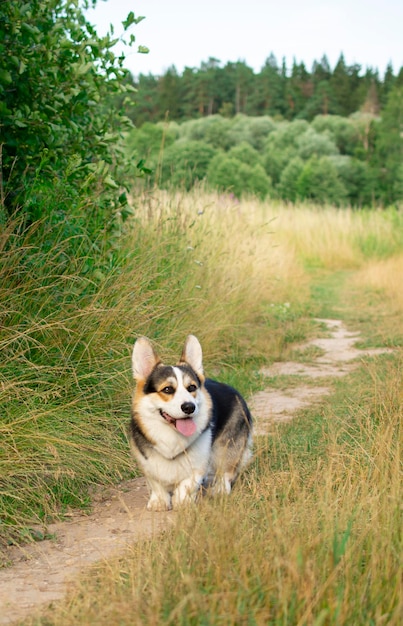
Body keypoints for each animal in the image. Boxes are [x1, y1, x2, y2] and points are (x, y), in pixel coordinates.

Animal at [129, 334, 252, 510]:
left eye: (192, 387)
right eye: (167, 389)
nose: (189, 407)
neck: (172, 437)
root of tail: (233, 390)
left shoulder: (199, 465)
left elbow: (187, 484)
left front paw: (182, 501)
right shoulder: (148, 464)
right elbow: (156, 483)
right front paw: (159, 502)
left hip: (226, 447)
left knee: (226, 471)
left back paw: (220, 490)